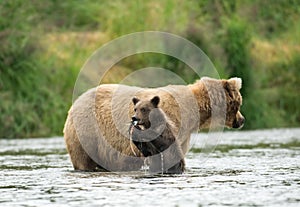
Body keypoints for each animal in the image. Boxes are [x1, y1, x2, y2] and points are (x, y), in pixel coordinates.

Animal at [62, 77, 244, 171]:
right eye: (239, 103)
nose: (242, 120)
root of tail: (74, 103)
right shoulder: (171, 119)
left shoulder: (183, 134)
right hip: (87, 131)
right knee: (83, 158)